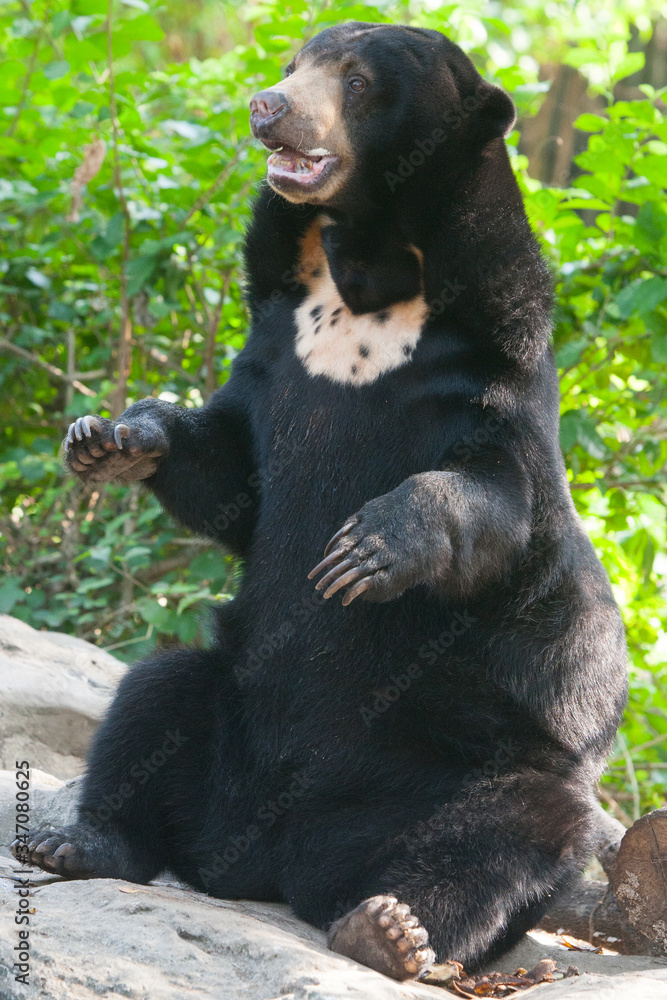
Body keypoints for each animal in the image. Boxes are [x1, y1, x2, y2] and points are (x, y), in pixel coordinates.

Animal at [15, 25, 632, 984]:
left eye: (356, 81)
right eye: (293, 64)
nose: (266, 107)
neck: (367, 280)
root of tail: (264, 863)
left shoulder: (490, 370)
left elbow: (499, 498)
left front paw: (364, 553)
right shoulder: (279, 344)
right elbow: (232, 474)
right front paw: (108, 437)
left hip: (463, 773)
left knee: (519, 829)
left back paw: (389, 927)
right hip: (222, 705)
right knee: (154, 696)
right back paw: (79, 843)